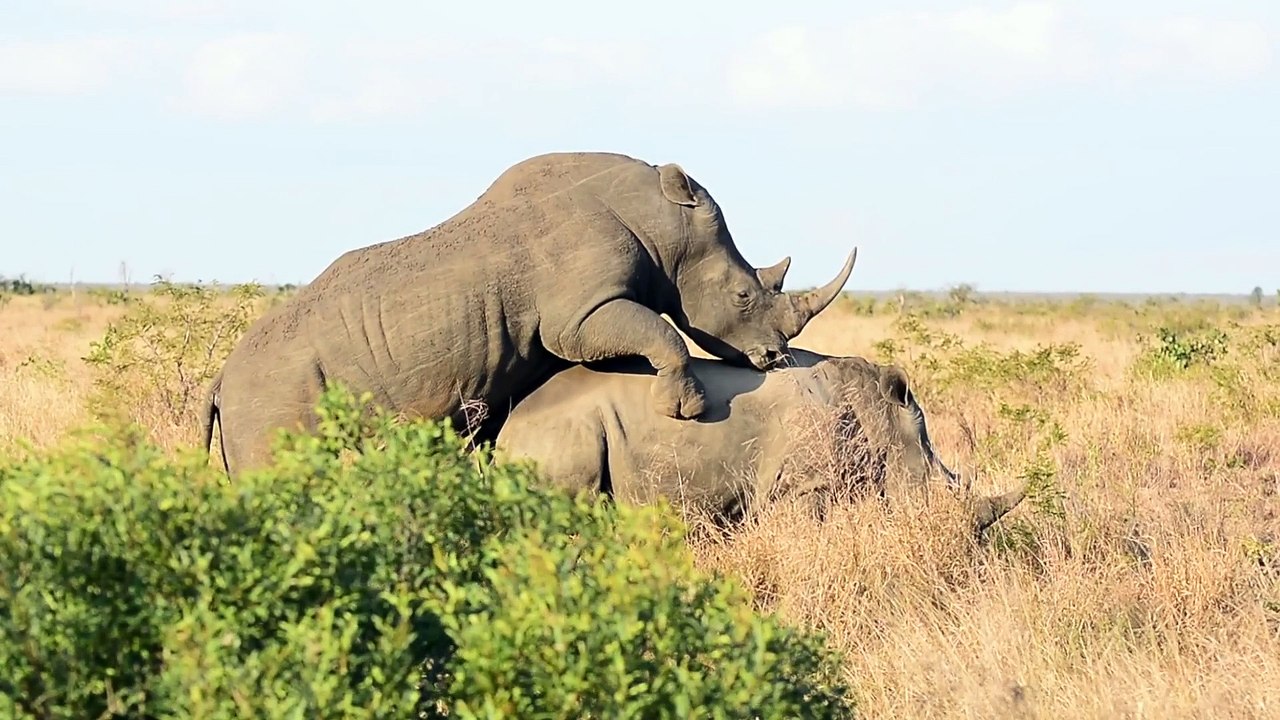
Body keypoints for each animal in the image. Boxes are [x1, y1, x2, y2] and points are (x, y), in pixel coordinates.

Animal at [201, 151, 857, 474]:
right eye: (744, 296)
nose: (774, 357)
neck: (662, 222)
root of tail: (222, 378)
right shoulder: (580, 313)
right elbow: (659, 331)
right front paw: (687, 409)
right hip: (273, 386)